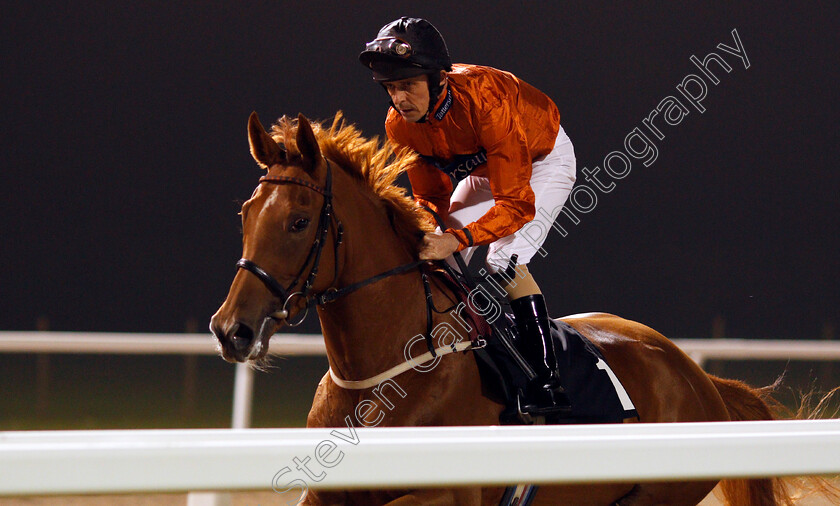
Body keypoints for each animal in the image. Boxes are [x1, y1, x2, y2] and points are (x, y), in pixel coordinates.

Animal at [210, 112, 796, 504]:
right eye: (245, 214)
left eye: (299, 222)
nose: (230, 329)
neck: (386, 373)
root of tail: (697, 377)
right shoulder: (329, 492)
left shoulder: (444, 494)